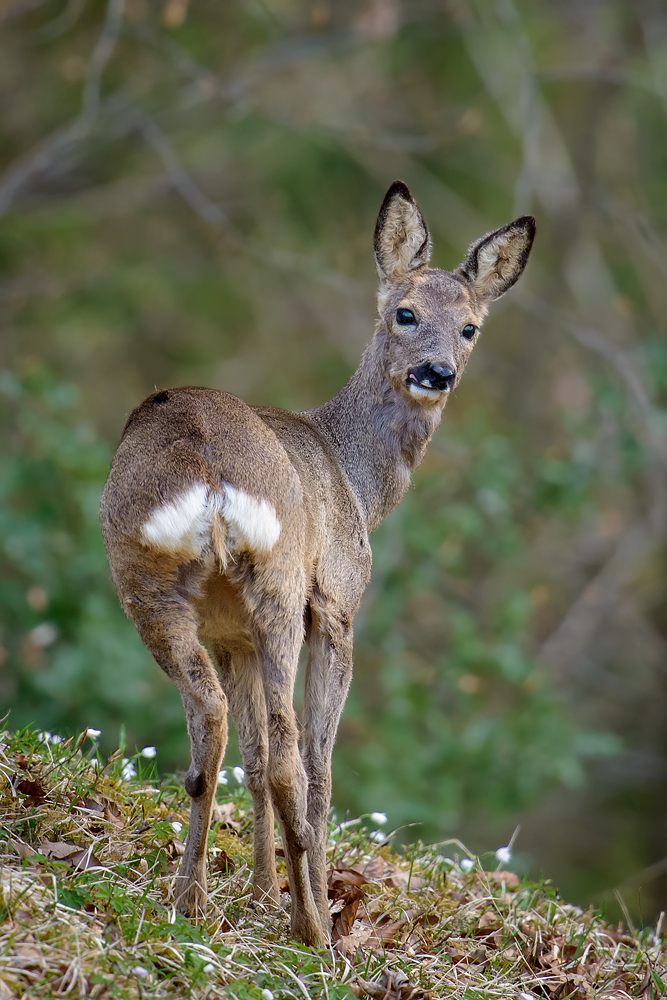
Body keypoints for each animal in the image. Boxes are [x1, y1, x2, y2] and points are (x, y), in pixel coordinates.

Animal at [100, 182, 536, 944]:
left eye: (470, 327)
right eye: (404, 312)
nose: (436, 373)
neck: (355, 480)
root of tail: (206, 471)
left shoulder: (231, 635)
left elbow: (250, 757)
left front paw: (257, 895)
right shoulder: (335, 600)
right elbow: (318, 767)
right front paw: (293, 901)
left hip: (151, 581)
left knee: (218, 727)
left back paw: (192, 898)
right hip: (278, 585)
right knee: (291, 758)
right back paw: (313, 929)